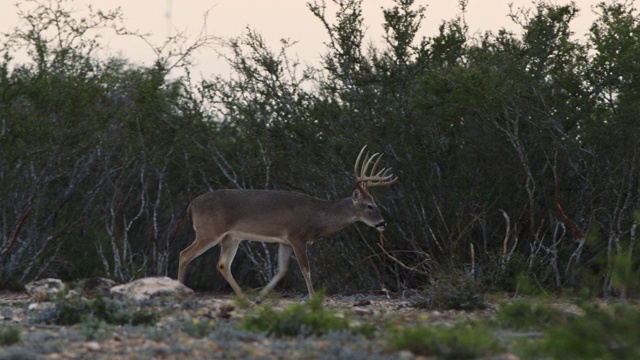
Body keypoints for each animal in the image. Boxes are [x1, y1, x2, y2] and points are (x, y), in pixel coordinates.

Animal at [175, 145, 396, 300]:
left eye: (375, 204)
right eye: (370, 206)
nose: (383, 223)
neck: (317, 216)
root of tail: (192, 204)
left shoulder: (284, 242)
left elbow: (282, 271)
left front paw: (260, 298)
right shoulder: (297, 237)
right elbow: (306, 270)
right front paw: (314, 298)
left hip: (231, 237)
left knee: (222, 264)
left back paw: (246, 299)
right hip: (209, 231)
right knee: (184, 254)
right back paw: (179, 292)